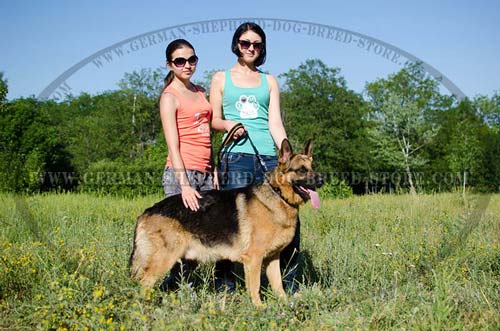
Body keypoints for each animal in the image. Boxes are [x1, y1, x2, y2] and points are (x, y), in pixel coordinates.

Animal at [130, 139, 324, 306]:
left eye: (312, 167)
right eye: (301, 170)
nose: (322, 180)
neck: (278, 194)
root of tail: (147, 211)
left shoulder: (272, 258)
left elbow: (279, 286)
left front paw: (286, 305)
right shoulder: (253, 259)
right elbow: (255, 288)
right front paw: (259, 309)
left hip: (183, 261)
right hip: (164, 259)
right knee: (144, 284)